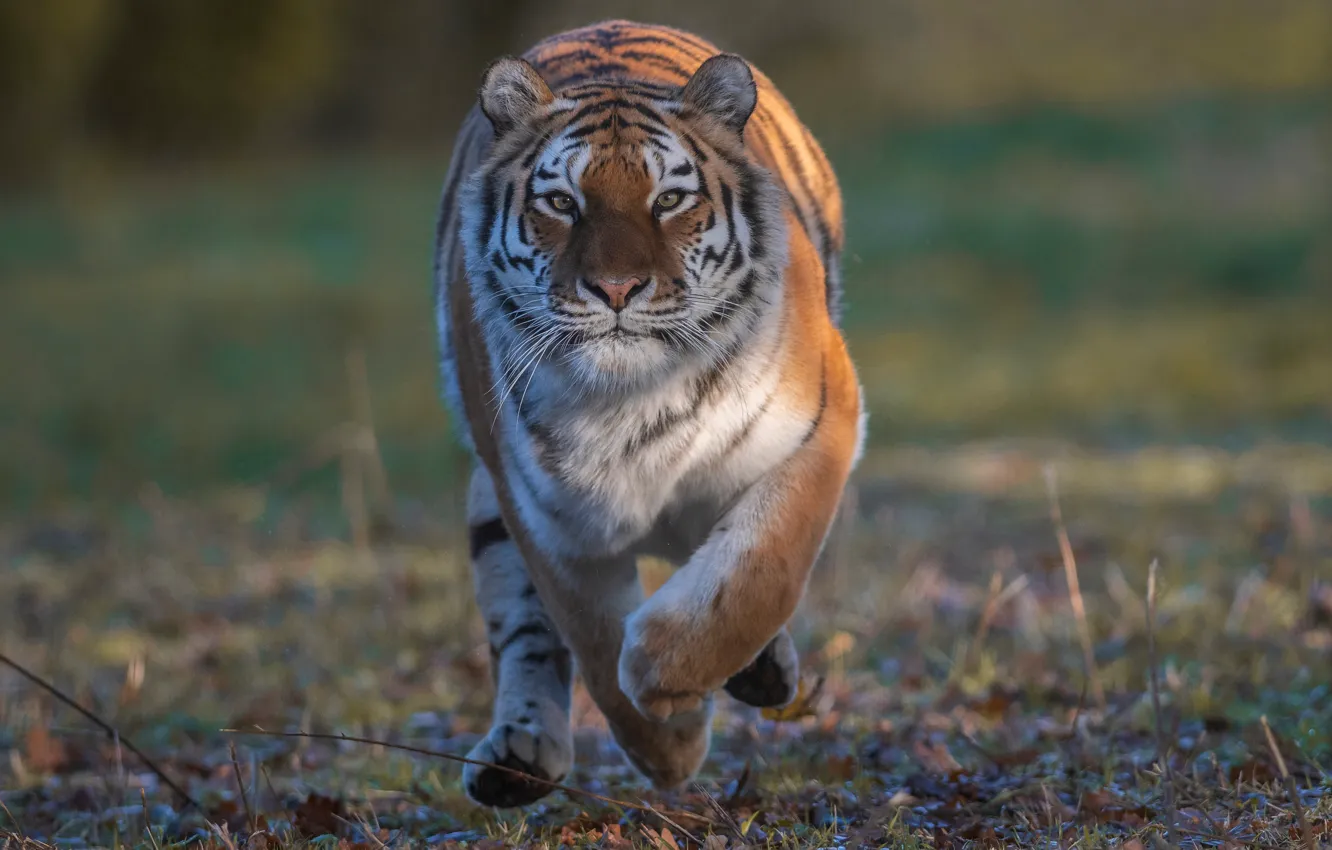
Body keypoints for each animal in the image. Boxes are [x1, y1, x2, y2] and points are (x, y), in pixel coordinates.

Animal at [433, 19, 866, 807]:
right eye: (562, 203)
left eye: (667, 200)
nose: (615, 288)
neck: (631, 398)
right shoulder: (546, 514)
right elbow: (594, 640)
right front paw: (668, 746)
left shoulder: (821, 422)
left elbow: (757, 568)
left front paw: (664, 676)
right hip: (490, 507)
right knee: (524, 633)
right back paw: (517, 758)